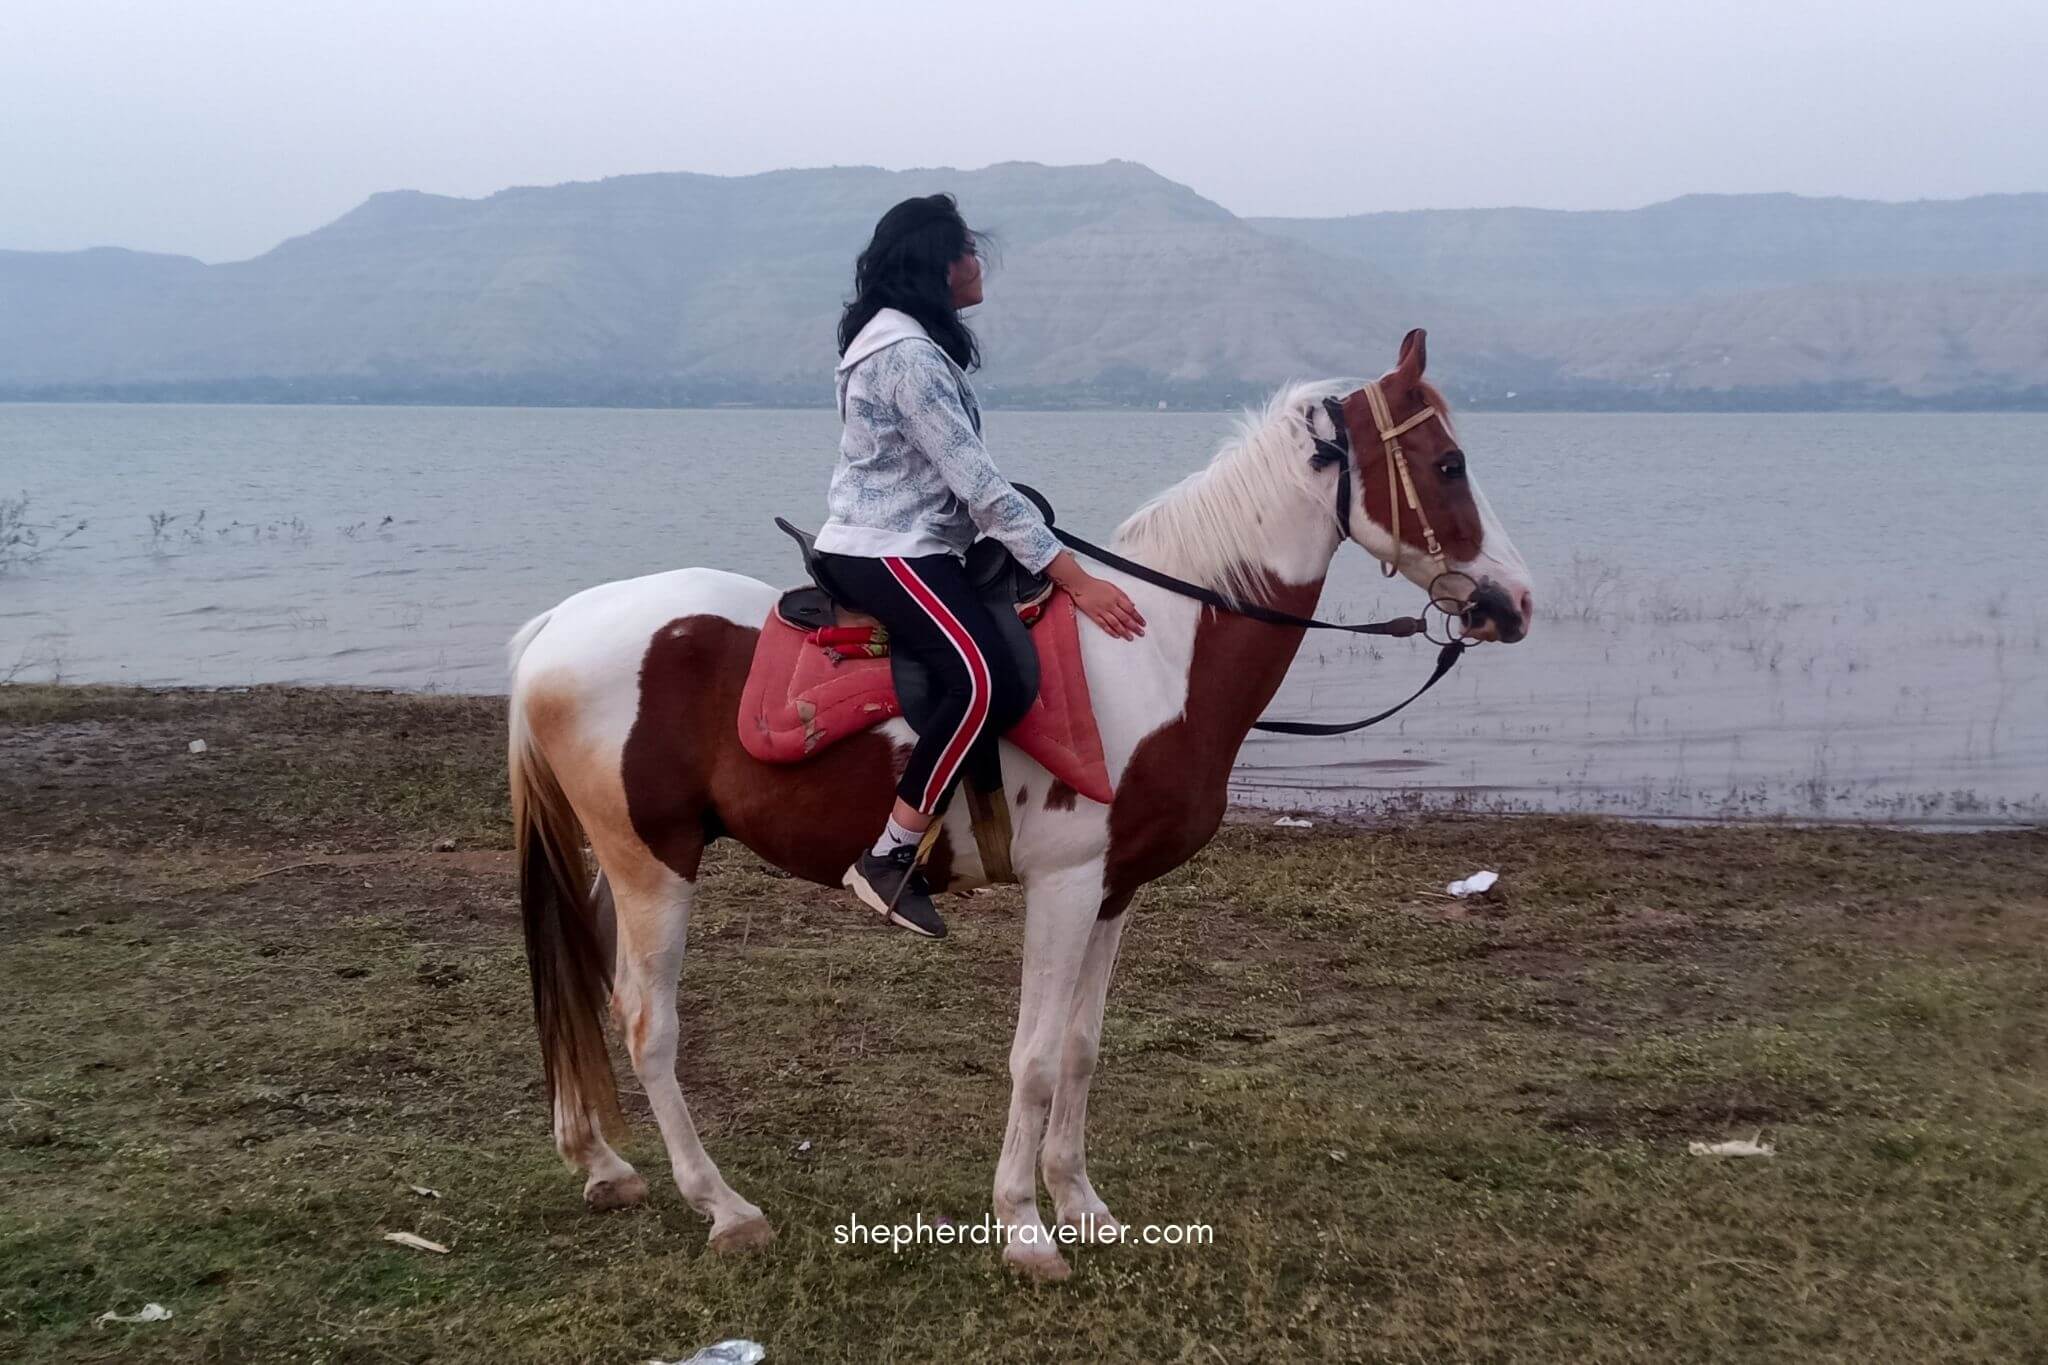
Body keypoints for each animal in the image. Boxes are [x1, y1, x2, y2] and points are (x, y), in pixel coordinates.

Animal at [507, 327, 1540, 1285]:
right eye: (1447, 463)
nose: (1515, 602)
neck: (1158, 652)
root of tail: (560, 624)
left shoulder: (1115, 890)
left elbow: (1080, 1047)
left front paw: (1082, 1204)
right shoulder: (1066, 884)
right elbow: (1034, 1057)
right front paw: (1025, 1229)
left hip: (621, 862)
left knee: (586, 977)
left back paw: (601, 1161)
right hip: (656, 863)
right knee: (649, 1022)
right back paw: (723, 1206)